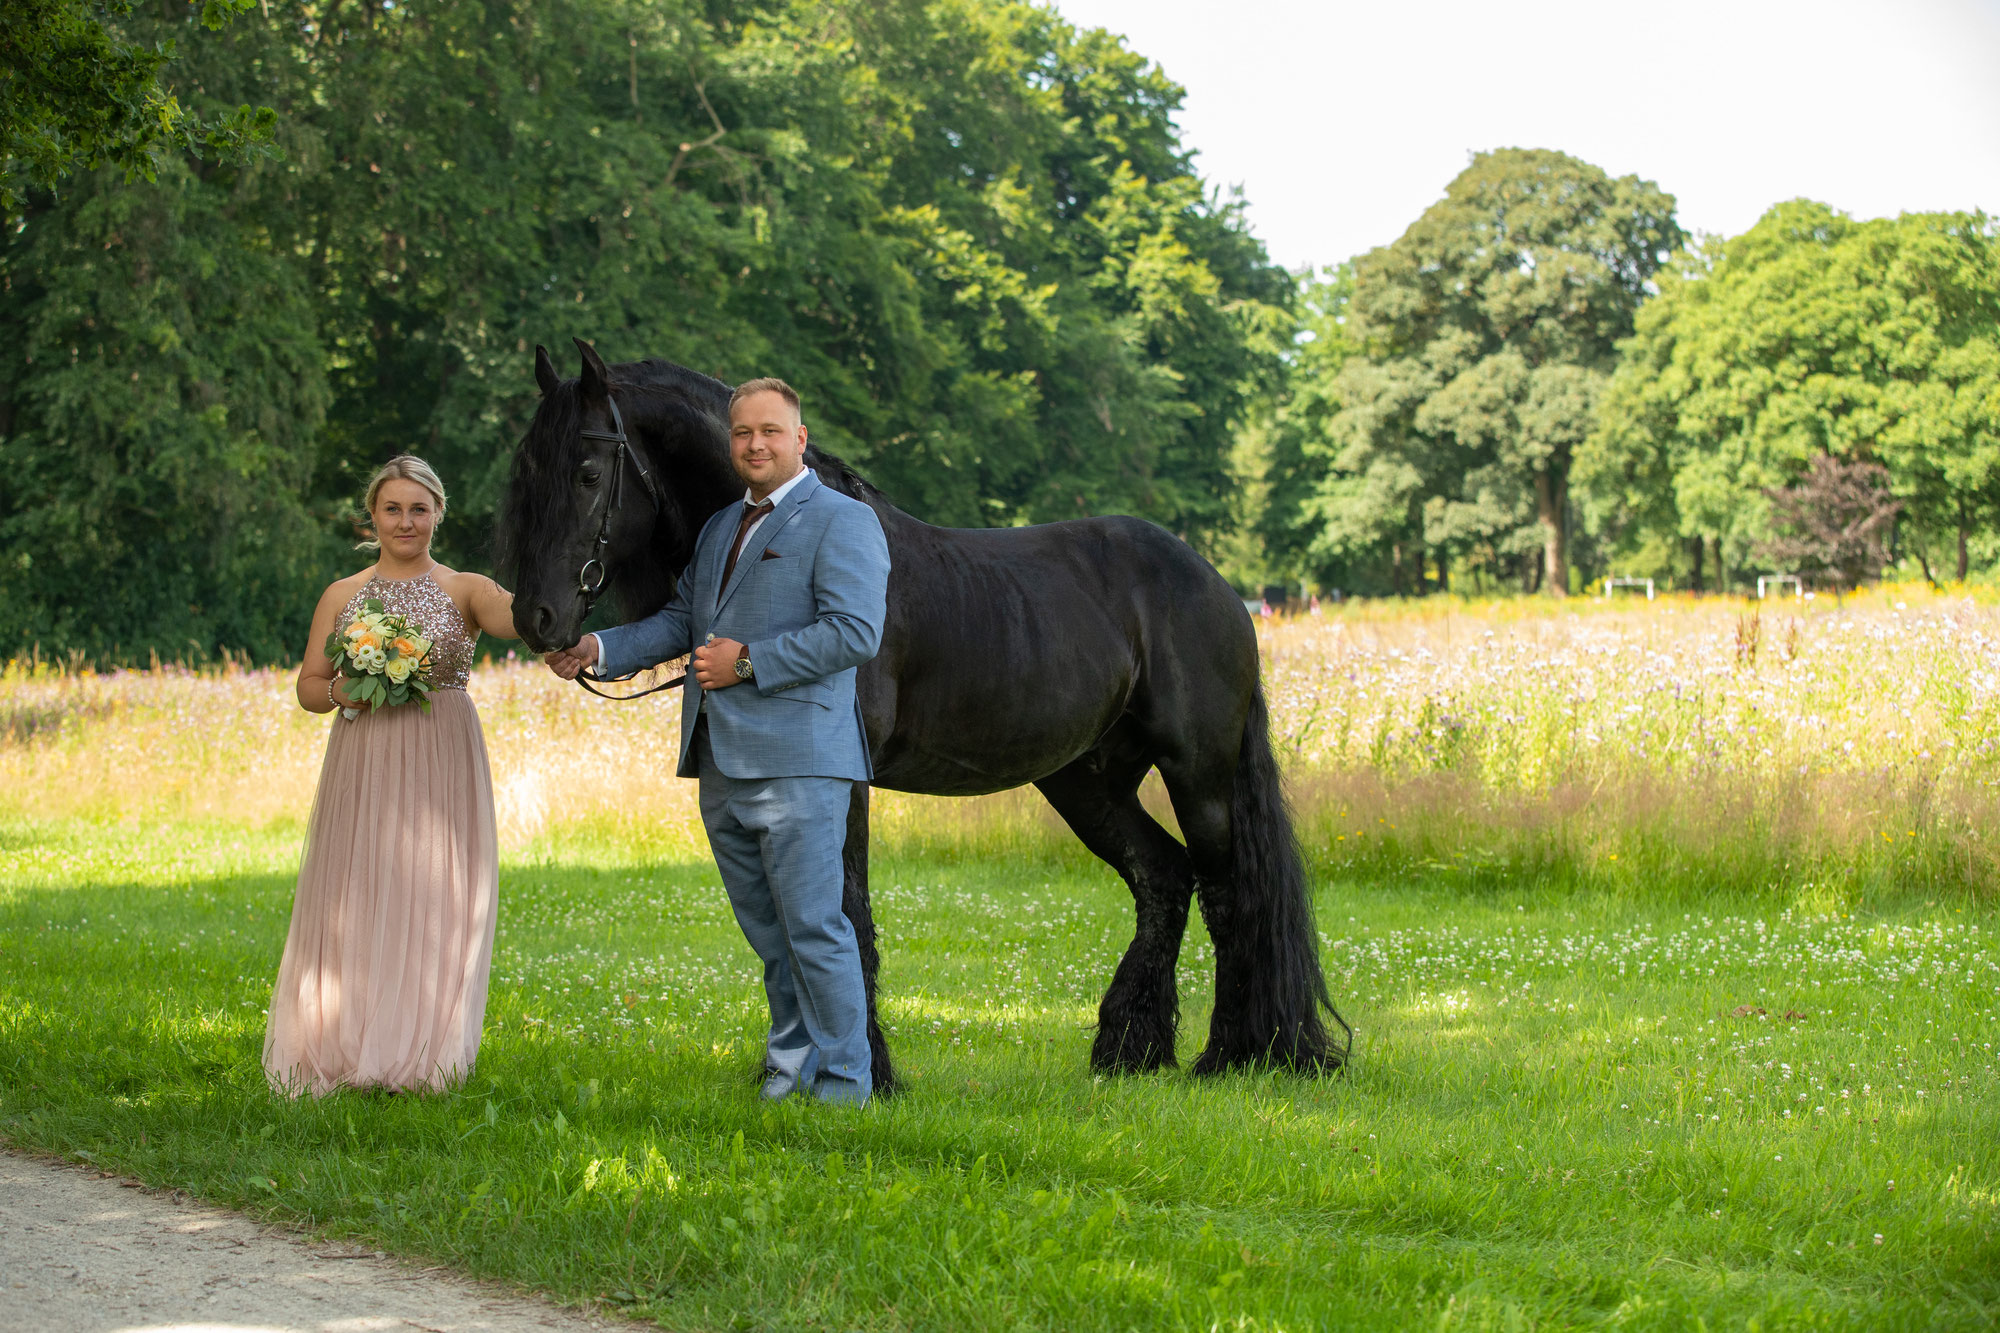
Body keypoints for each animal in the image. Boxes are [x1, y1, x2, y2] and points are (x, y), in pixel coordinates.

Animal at [500, 338, 1352, 1088]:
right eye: (526, 469)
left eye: (587, 471)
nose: (536, 619)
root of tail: (1214, 584)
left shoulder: (839, 782)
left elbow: (842, 915)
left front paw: (863, 1072)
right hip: (1087, 781)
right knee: (1163, 879)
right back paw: (1130, 1050)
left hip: (1196, 772)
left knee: (1228, 889)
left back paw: (1238, 1054)